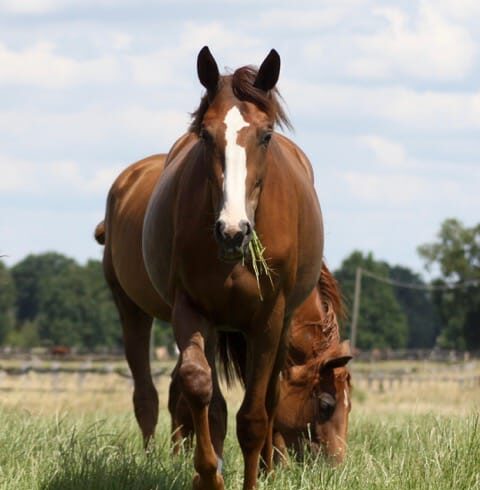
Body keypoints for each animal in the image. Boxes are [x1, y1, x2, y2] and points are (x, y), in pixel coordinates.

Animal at [96, 47, 322, 490]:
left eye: (265, 135)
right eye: (205, 134)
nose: (233, 231)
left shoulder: (268, 319)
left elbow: (253, 416)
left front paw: (252, 479)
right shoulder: (192, 309)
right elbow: (198, 386)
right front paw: (207, 473)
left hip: (279, 322)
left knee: (269, 399)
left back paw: (268, 467)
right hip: (133, 308)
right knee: (152, 394)